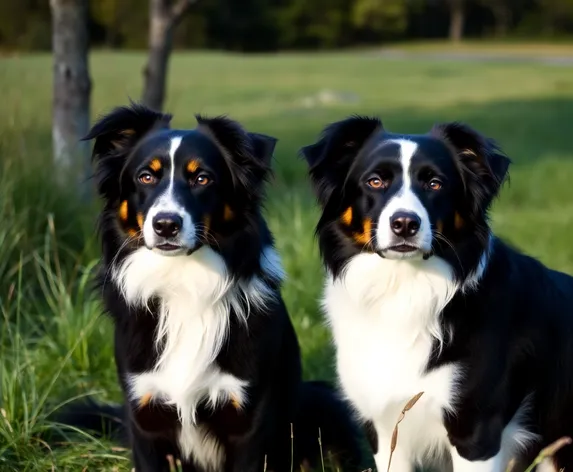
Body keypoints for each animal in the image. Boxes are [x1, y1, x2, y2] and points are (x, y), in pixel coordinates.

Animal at [76, 105, 362, 472]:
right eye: (146, 177)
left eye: (202, 178)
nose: (166, 225)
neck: (183, 281)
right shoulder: (144, 413)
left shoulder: (248, 419)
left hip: (322, 401)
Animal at [300, 115, 572, 472]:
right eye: (375, 181)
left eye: (434, 184)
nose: (404, 223)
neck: (404, 290)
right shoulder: (385, 427)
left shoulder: (476, 433)